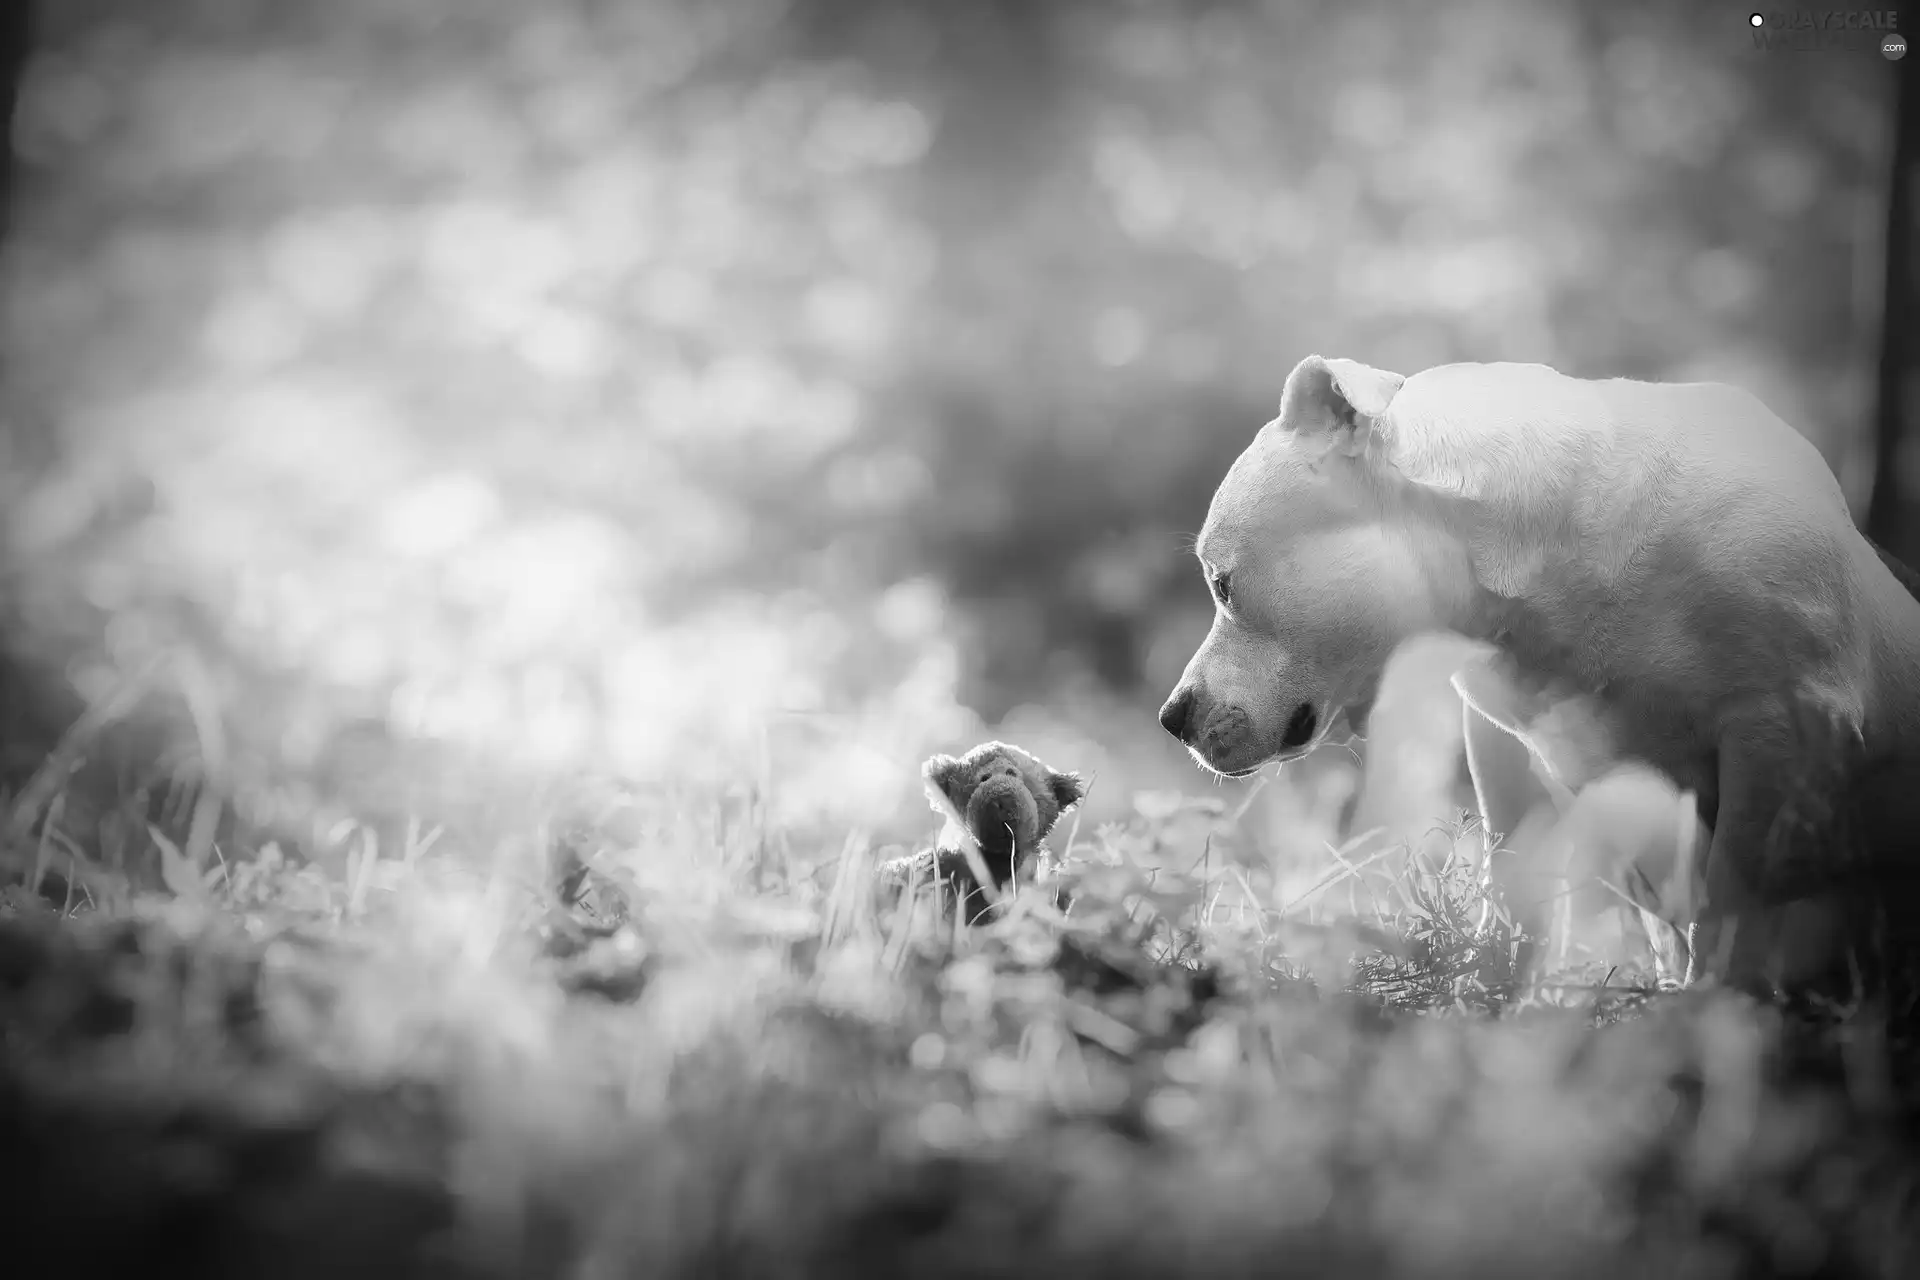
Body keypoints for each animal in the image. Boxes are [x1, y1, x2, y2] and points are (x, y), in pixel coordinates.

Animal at [1152, 355, 1920, 997]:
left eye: (1223, 585)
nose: (1173, 717)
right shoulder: (1503, 739)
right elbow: (1512, 871)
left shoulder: (1779, 731)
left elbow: (1736, 898)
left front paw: (1709, 1008)